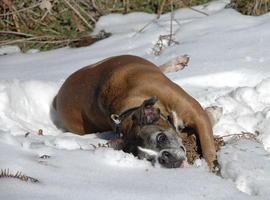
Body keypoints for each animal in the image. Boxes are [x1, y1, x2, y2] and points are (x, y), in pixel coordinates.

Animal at [54, 54, 219, 172]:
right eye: (145, 158)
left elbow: (208, 148)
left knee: (159, 67)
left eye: (161, 138)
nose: (163, 159)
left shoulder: (197, 115)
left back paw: (176, 62)